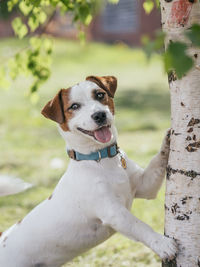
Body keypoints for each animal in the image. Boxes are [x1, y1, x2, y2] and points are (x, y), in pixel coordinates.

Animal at [0, 76, 178, 267]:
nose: (99, 115)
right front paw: (162, 244)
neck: (101, 159)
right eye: (74, 106)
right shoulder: (113, 212)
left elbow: (157, 161)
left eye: (100, 95)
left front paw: (168, 142)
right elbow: (139, 225)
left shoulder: (146, 186)